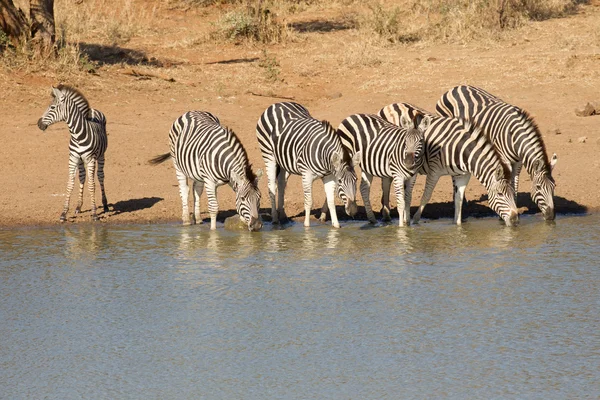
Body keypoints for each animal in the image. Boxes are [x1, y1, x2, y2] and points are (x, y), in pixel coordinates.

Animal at [37, 85, 109, 222]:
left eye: (52, 107)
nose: (39, 124)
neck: (77, 135)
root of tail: (93, 110)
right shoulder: (73, 158)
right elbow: (70, 184)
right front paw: (64, 213)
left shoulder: (90, 159)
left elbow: (92, 185)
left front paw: (94, 213)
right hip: (80, 160)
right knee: (82, 177)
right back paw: (78, 206)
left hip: (101, 156)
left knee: (100, 176)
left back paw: (106, 205)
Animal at [380, 103, 520, 227]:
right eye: (500, 194)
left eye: (513, 194)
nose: (514, 220)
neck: (461, 149)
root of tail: (388, 105)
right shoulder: (434, 171)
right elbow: (426, 195)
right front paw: (415, 219)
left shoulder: (462, 175)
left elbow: (459, 200)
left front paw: (457, 225)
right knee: (386, 183)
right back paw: (386, 215)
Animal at [436, 85, 556, 220]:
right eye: (538, 187)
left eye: (554, 186)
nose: (551, 216)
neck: (513, 136)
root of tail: (456, 87)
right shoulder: (505, 160)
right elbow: (508, 183)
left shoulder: (518, 162)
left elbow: (514, 184)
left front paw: (513, 205)